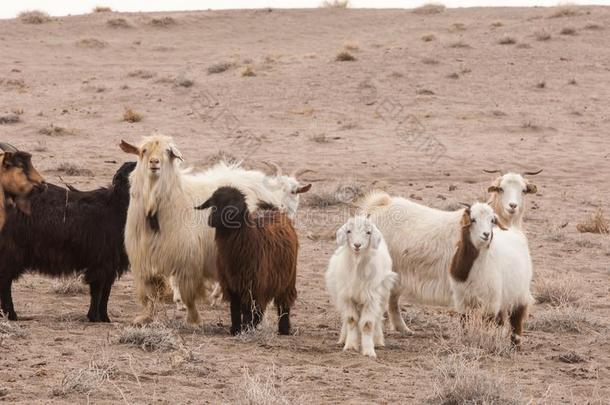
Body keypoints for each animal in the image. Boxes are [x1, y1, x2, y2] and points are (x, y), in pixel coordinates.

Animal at [0, 161, 134, 322]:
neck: (116, 207)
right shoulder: (101, 263)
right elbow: (98, 291)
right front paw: (94, 317)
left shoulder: (110, 264)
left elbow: (106, 292)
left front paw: (105, 318)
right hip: (12, 251)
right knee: (5, 281)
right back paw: (11, 315)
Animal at [119, 134, 280, 324]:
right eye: (143, 151)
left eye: (168, 151)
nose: (154, 162)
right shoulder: (144, 260)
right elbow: (149, 294)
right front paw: (145, 317)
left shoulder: (188, 262)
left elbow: (188, 295)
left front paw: (193, 319)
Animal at [195, 186, 296, 334]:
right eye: (213, 204)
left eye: (229, 205)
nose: (211, 219)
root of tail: (274, 211)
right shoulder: (232, 283)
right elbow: (235, 308)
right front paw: (236, 329)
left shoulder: (252, 283)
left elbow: (249, 309)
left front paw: (247, 327)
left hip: (287, 279)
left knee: (283, 305)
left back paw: (283, 329)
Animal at [324, 215, 394, 356]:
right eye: (348, 231)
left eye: (368, 232)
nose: (357, 245)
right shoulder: (346, 297)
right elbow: (351, 319)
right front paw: (350, 346)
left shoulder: (371, 298)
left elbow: (367, 324)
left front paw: (369, 351)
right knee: (345, 318)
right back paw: (342, 339)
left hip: (383, 296)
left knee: (378, 317)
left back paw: (378, 341)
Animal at [446, 204, 532, 342]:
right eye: (473, 219)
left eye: (492, 221)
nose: (486, 234)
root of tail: (514, 230)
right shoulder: (461, 298)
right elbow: (465, 321)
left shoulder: (490, 301)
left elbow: (487, 323)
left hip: (520, 290)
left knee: (517, 316)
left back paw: (516, 342)